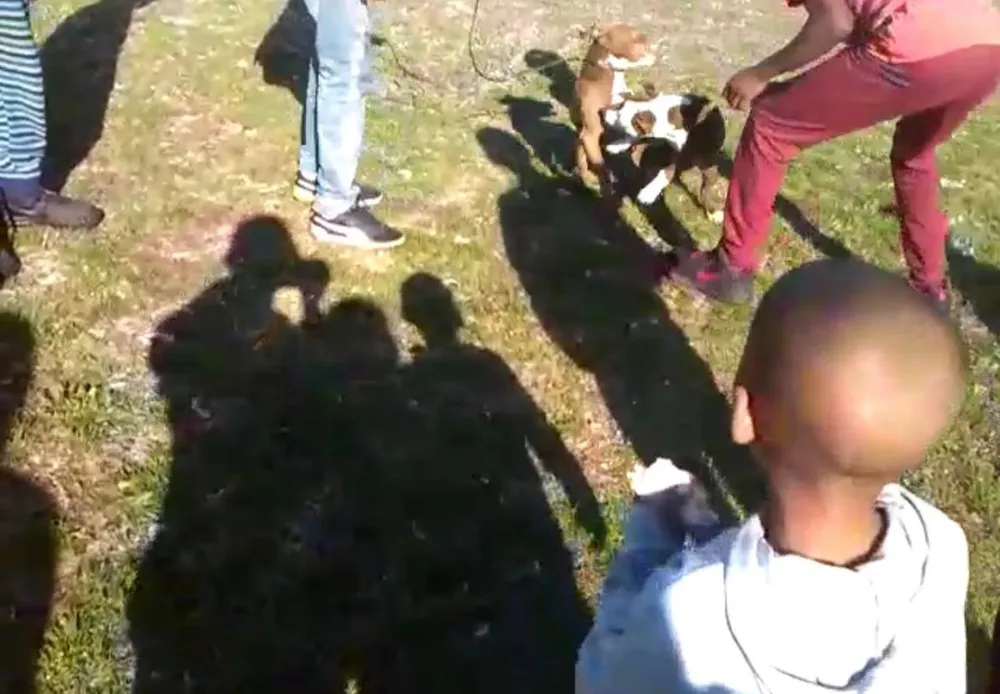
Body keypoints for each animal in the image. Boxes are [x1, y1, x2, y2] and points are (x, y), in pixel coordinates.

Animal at [571, 22, 653, 192]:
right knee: (584, 168)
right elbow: (601, 168)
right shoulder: (590, 135)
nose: (646, 37)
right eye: (632, 35)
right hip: (582, 145)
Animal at [603, 92, 726, 221]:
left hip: (706, 161)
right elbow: (638, 137)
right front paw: (618, 145)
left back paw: (713, 211)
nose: (601, 112)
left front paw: (649, 193)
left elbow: (668, 171)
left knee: (708, 182)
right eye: (620, 104)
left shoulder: (682, 153)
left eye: (619, 118)